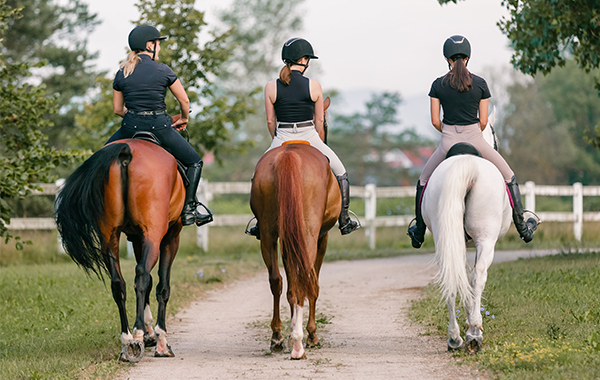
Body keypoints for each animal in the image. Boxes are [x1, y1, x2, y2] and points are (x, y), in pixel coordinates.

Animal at [54, 138, 185, 360]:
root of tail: (126, 151)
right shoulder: (170, 238)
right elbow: (162, 287)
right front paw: (160, 341)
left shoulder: (137, 239)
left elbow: (150, 283)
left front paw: (149, 335)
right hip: (153, 234)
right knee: (141, 277)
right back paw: (138, 334)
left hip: (109, 237)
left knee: (118, 283)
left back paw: (128, 340)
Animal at [250, 111, 342, 358]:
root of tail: (289, 154)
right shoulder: (322, 238)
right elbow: (313, 283)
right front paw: (311, 335)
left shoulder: (286, 238)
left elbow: (290, 280)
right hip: (308, 235)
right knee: (306, 278)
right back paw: (301, 341)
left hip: (269, 234)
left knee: (277, 280)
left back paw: (278, 337)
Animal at [422, 110, 510, 354]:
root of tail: (465, 162)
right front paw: (474, 323)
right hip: (486, 239)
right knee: (478, 276)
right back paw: (473, 334)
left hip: (445, 238)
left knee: (450, 277)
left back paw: (454, 337)